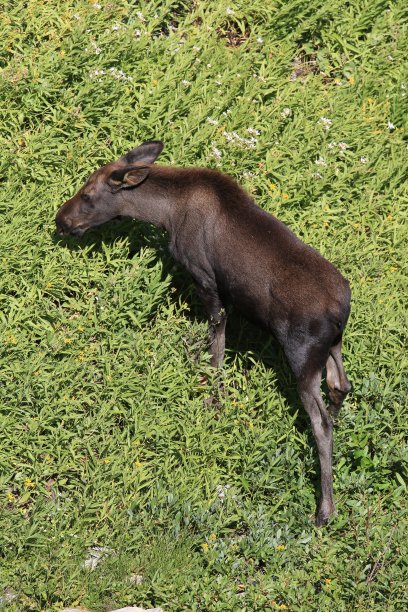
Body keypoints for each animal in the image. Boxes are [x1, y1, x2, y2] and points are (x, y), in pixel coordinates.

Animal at [55, 140, 352, 524]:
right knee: (340, 386)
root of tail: (341, 311)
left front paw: (214, 401)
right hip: (333, 346)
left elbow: (216, 347)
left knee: (320, 422)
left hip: (302, 354)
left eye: (88, 194)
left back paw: (325, 509)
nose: (61, 219)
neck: (164, 213)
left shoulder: (207, 280)